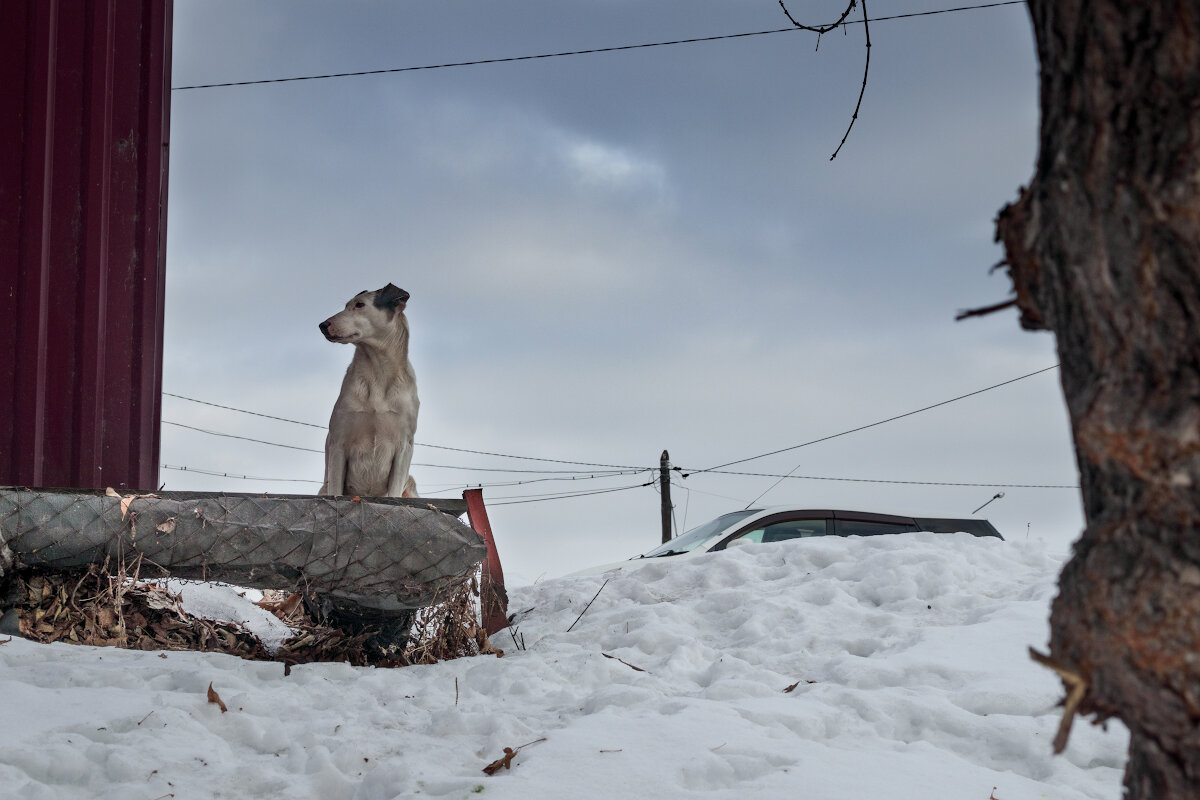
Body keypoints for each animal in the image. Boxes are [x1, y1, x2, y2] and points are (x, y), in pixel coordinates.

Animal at [319, 284, 422, 496]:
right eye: (346, 306)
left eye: (360, 305)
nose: (323, 325)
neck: (377, 370)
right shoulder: (338, 443)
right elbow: (336, 489)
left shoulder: (404, 447)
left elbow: (394, 491)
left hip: (411, 484)